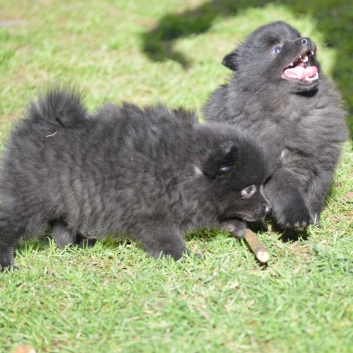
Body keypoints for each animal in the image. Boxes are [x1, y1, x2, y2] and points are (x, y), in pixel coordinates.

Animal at [0, 86, 270, 268]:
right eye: (248, 190)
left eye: (263, 185)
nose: (268, 209)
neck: (182, 166)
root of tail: (39, 124)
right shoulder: (151, 217)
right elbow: (168, 241)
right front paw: (186, 259)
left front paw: (235, 226)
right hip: (27, 200)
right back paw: (7, 266)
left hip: (68, 198)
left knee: (62, 228)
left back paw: (77, 245)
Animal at [204, 21, 346, 231]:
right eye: (276, 49)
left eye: (296, 36)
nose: (305, 39)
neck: (295, 109)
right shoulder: (276, 168)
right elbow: (287, 193)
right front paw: (297, 219)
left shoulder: (324, 163)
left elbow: (316, 193)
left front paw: (313, 221)